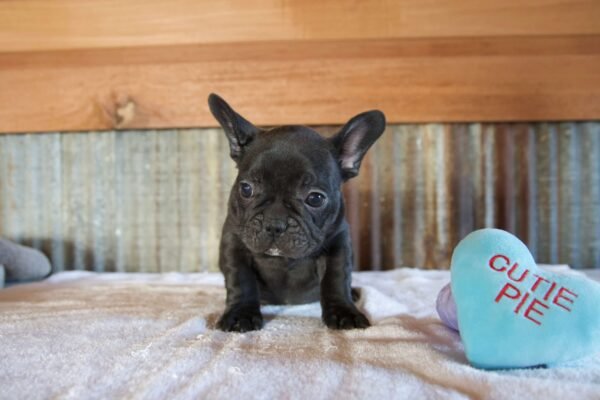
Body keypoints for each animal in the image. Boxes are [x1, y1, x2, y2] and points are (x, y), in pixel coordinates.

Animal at [209, 94, 386, 332]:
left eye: (315, 198)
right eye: (246, 189)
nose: (274, 223)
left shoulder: (338, 244)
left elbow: (336, 279)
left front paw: (344, 312)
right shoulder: (234, 243)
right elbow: (240, 279)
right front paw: (240, 314)